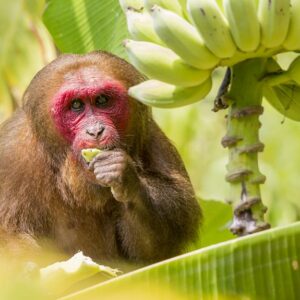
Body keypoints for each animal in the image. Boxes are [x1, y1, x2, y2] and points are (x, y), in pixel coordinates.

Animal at [0, 51, 202, 264]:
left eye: (102, 100)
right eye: (76, 105)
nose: (95, 131)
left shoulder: (150, 134)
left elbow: (160, 245)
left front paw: (125, 177)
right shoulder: (10, 154)